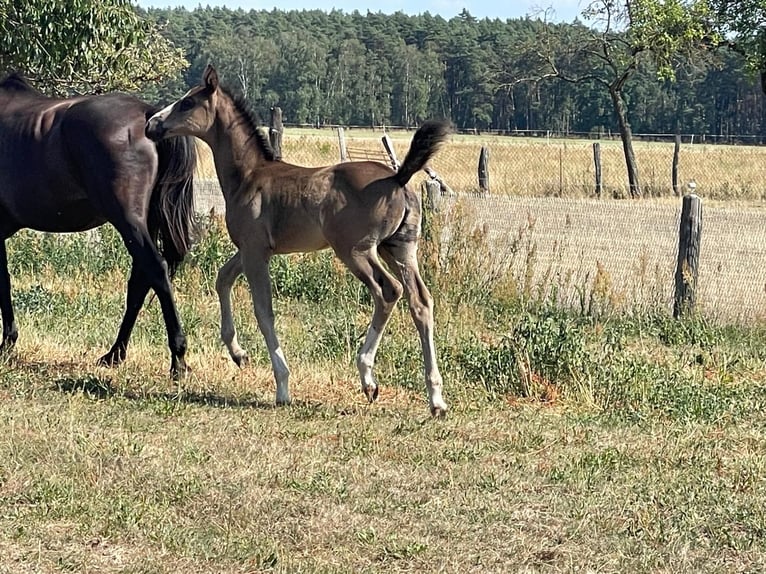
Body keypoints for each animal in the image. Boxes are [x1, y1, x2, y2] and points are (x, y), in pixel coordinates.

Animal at [0, 72, 197, 377]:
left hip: (129, 221)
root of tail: (146, 113)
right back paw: (115, 353)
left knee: (156, 271)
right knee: (140, 281)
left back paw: (177, 358)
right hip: (145, 223)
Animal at [146, 64, 449, 416]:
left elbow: (264, 311)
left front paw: (282, 386)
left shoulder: (254, 251)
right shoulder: (252, 249)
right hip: (399, 248)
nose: (151, 125)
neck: (248, 176)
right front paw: (238, 354)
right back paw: (436, 399)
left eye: (187, 103)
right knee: (421, 301)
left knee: (388, 291)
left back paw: (368, 378)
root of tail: (398, 179)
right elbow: (223, 279)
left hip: (356, 250)